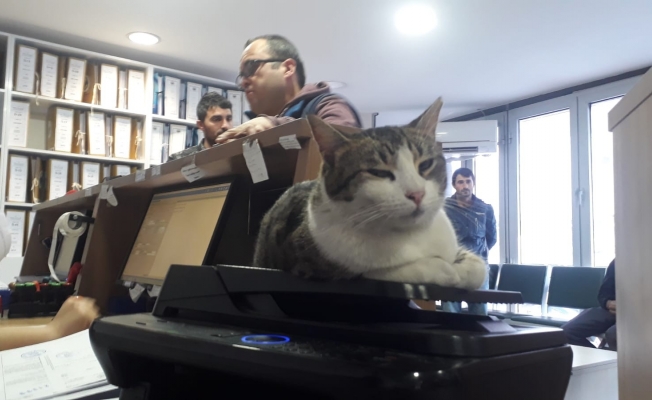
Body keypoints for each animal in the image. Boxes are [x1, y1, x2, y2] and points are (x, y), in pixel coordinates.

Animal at [253, 98, 487, 290]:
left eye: (425, 165)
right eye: (378, 173)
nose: (417, 194)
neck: (410, 234)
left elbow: (479, 268)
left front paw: (462, 269)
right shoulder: (316, 265)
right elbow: (385, 270)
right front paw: (446, 270)